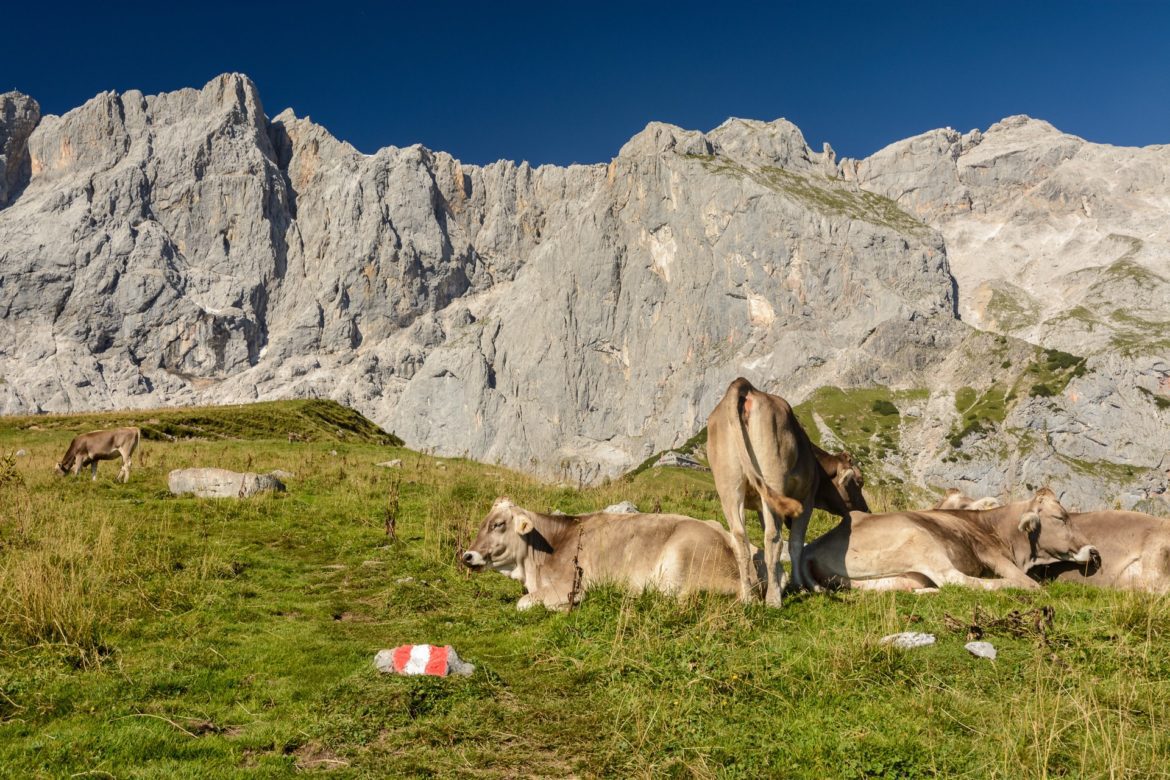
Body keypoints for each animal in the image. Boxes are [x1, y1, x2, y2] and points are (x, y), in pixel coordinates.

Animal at [800, 488, 1099, 591]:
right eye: (1060, 517)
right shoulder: (989, 554)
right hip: (919, 539)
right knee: (954, 580)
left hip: (895, 576)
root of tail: (810, 548)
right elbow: (1028, 582)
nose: (1094, 551)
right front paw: (1024, 583)